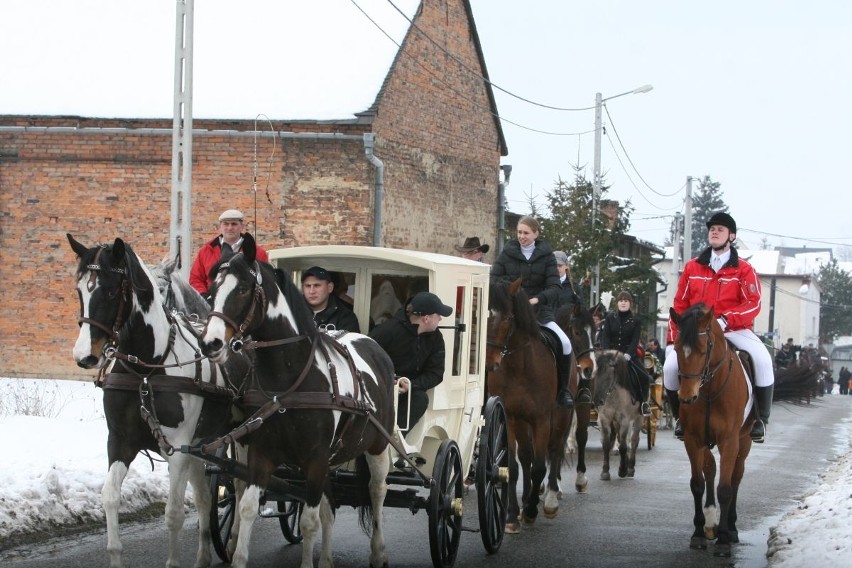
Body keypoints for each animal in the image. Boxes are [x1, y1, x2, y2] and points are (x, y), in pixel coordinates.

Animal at [486, 278, 572, 532]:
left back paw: (550, 500)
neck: (518, 367)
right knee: (526, 456)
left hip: (560, 416)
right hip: (522, 422)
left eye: (507, 318)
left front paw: (532, 510)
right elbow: (514, 467)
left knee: (554, 451)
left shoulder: (542, 419)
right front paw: (512, 515)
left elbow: (539, 467)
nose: (489, 362)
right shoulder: (510, 416)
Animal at [668, 304, 756, 556]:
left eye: (702, 349)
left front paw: (724, 539)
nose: (687, 396)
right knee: (710, 469)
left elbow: (725, 488)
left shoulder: (729, 441)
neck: (708, 390)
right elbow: (697, 484)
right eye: (676, 348)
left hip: (744, 441)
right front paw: (698, 533)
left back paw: (731, 528)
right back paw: (710, 523)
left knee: (736, 476)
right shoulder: (693, 439)